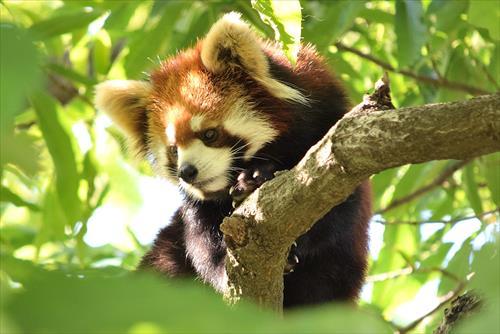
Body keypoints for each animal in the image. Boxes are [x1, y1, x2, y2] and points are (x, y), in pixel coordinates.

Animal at [96, 11, 372, 308]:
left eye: (209, 134)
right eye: (174, 150)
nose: (187, 172)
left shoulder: (330, 137)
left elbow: (334, 214)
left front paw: (255, 179)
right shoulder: (198, 211)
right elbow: (202, 239)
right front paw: (222, 270)